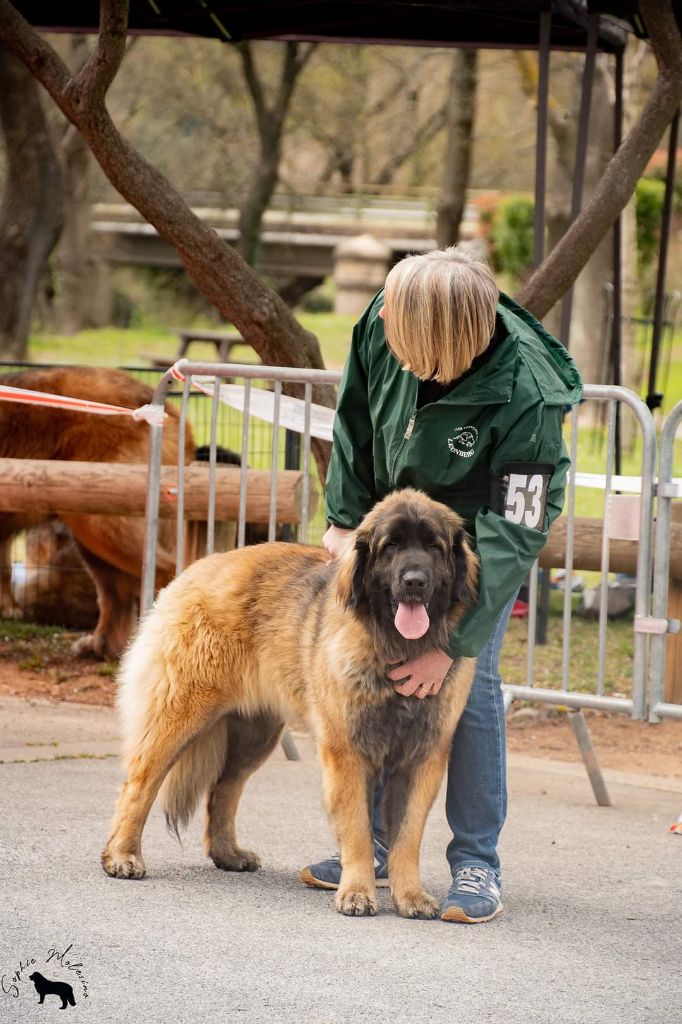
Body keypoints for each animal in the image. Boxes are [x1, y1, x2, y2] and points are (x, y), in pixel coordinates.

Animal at [100, 487, 475, 921]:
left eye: (433, 546)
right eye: (391, 546)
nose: (414, 581)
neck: (395, 649)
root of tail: (198, 567)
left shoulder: (423, 758)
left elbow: (408, 834)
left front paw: (411, 895)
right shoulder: (346, 754)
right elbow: (358, 830)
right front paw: (357, 892)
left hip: (255, 733)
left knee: (224, 789)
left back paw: (228, 853)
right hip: (181, 713)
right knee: (140, 783)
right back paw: (123, 855)